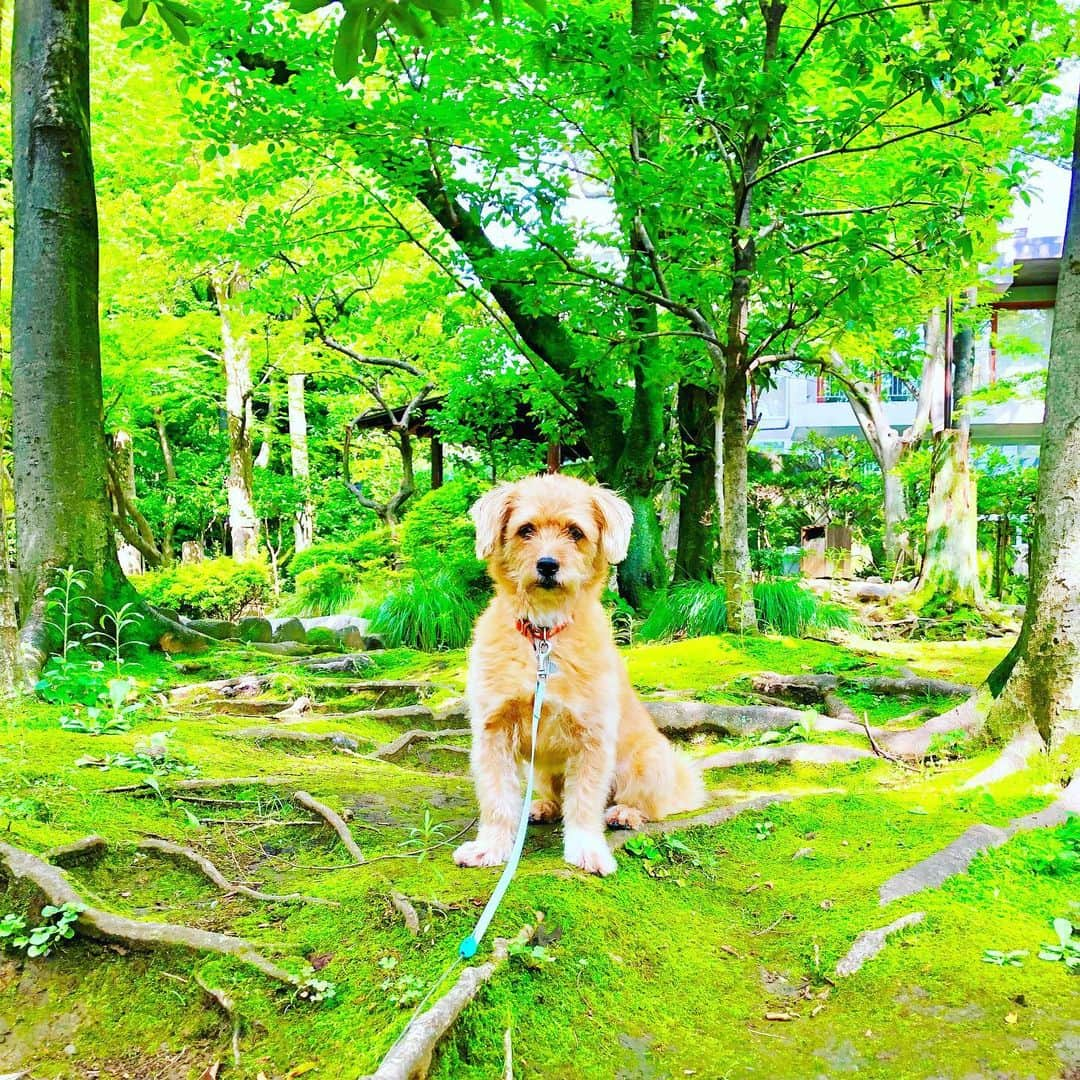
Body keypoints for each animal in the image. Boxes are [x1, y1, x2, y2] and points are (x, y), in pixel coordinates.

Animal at [451, 475, 704, 876]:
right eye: (525, 529)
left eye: (575, 532)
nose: (547, 564)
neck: (543, 635)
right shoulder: (494, 732)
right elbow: (497, 800)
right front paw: (490, 847)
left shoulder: (592, 738)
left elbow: (585, 803)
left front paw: (587, 850)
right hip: (540, 769)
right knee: (552, 796)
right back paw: (541, 807)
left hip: (647, 763)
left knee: (648, 806)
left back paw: (625, 813)